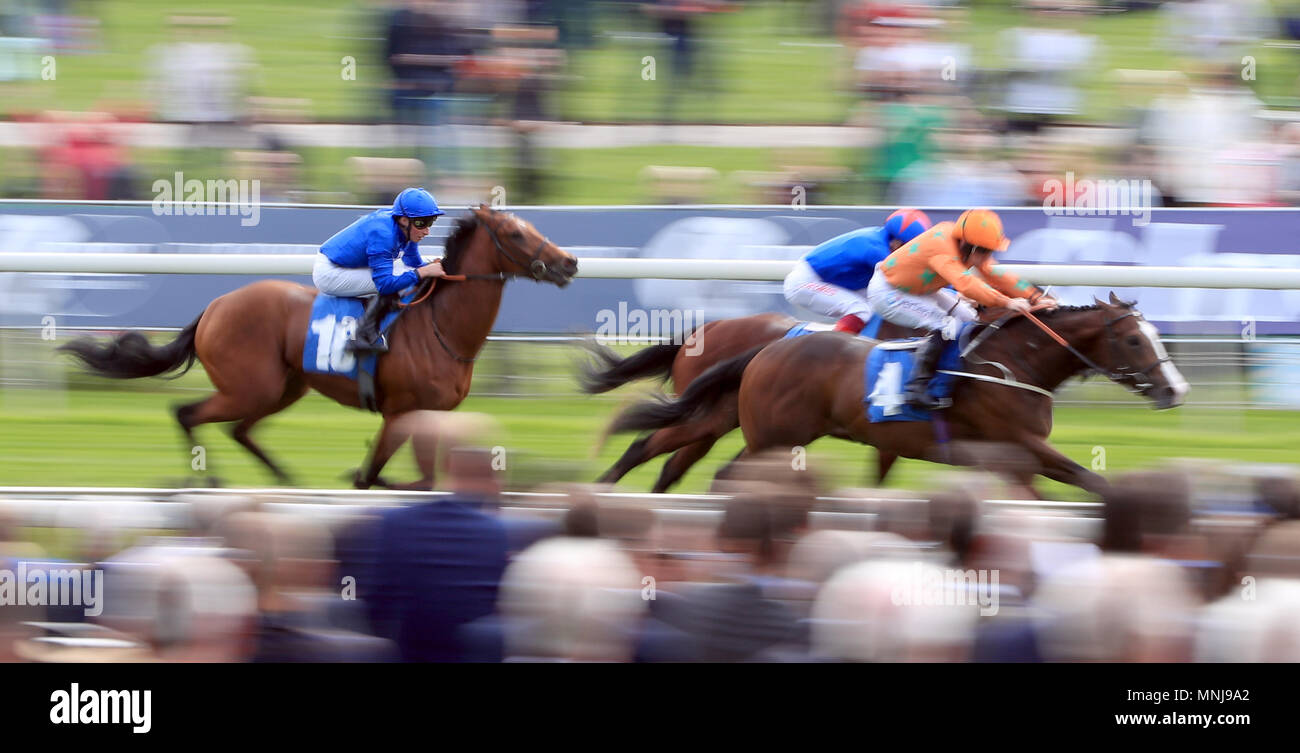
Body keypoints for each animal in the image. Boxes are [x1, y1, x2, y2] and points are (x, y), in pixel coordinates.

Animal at [59, 206, 579, 488]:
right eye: (516, 233)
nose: (570, 261)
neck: (441, 327)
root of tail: (215, 306)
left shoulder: (429, 417)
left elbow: (419, 479)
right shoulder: (402, 412)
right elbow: (379, 474)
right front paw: (367, 477)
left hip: (282, 387)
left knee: (239, 430)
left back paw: (284, 480)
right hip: (250, 387)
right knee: (187, 414)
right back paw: (205, 480)